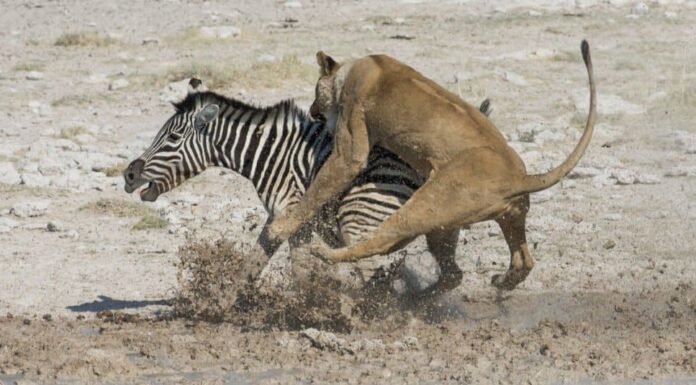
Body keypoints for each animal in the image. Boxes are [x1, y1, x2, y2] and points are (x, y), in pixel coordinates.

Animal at [126, 79, 494, 284]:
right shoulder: (281, 219)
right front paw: (222, 304)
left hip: (358, 217)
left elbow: (294, 272)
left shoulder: (294, 217)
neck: (273, 153)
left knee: (374, 276)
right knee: (451, 276)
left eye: (173, 138)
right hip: (442, 227)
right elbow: (254, 265)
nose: (128, 174)